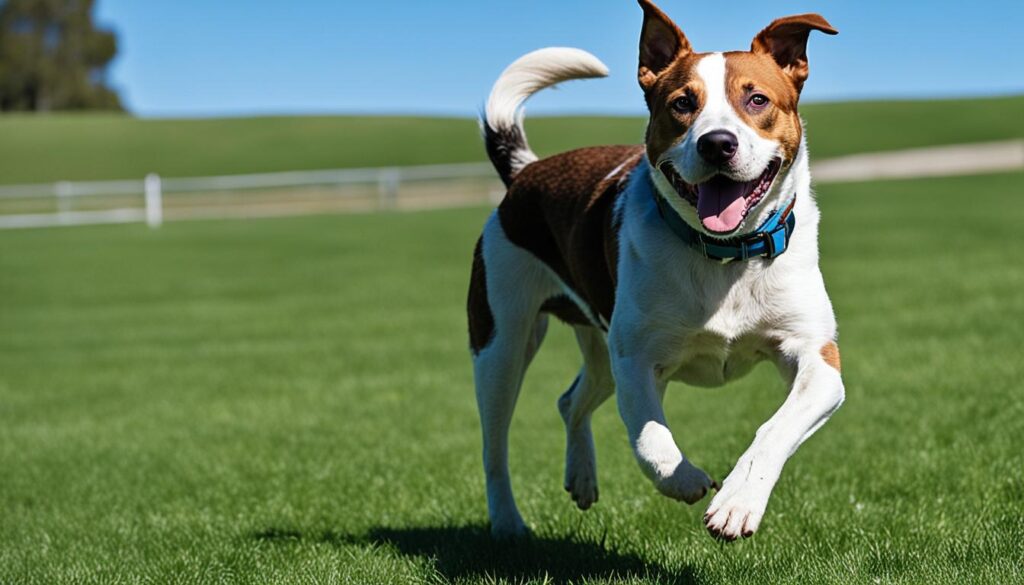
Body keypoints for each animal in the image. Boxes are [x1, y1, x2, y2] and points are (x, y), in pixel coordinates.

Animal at [468, 0, 843, 545]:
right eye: (682, 103)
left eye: (756, 99)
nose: (717, 143)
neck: (724, 257)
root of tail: (525, 173)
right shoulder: (637, 360)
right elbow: (650, 440)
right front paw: (685, 479)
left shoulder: (817, 358)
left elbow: (775, 427)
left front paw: (738, 502)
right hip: (502, 340)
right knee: (494, 442)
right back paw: (508, 522)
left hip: (597, 343)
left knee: (570, 401)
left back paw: (581, 476)